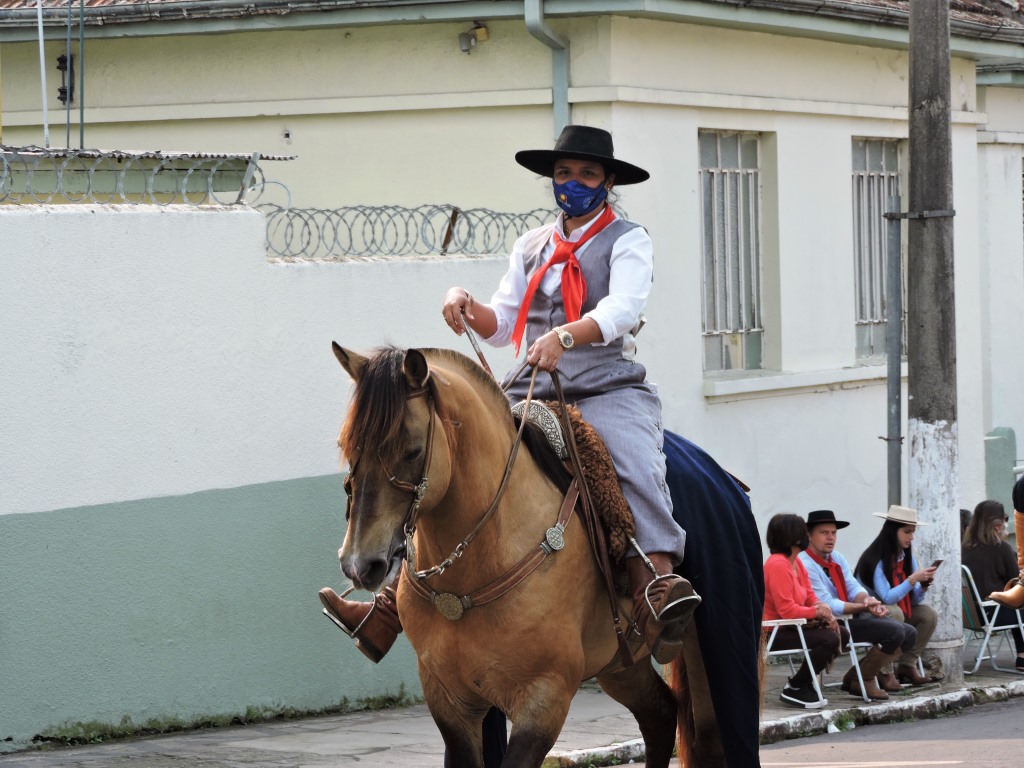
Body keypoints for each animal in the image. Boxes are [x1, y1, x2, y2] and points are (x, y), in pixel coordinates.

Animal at [327, 344, 761, 768]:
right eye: (347, 446)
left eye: (412, 451)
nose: (360, 564)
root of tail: (726, 481)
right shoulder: (448, 698)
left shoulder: (545, 698)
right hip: (620, 663)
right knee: (660, 716)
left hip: (705, 655)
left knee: (710, 739)